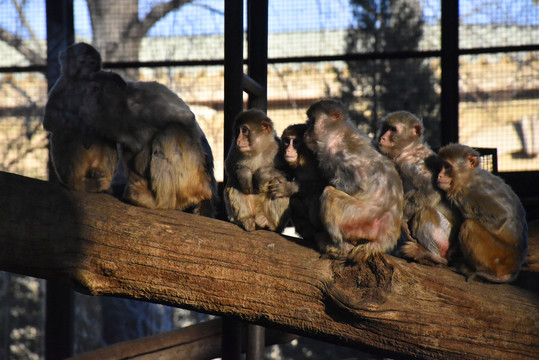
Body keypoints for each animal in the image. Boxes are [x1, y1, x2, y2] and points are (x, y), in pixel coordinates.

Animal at [42, 42, 117, 193]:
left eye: (92, 63)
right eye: (82, 62)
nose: (87, 70)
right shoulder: (62, 84)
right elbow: (50, 119)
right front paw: (84, 125)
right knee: (64, 132)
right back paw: (75, 181)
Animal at [78, 70, 217, 217]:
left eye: (96, 89)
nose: (87, 101)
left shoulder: (144, 104)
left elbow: (187, 119)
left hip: (191, 178)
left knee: (172, 130)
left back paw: (162, 202)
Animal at [304, 100, 404, 260]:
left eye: (312, 122)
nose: (306, 133)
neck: (338, 134)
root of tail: (388, 236)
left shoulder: (340, 154)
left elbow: (357, 185)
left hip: (362, 219)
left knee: (330, 194)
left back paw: (340, 247)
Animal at [378, 111, 462, 266]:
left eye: (393, 129)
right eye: (386, 128)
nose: (382, 137)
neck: (409, 149)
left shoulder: (413, 163)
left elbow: (431, 191)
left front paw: (402, 221)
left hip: (445, 236)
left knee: (425, 211)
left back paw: (432, 256)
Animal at [438, 143, 528, 282]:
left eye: (447, 166)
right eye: (441, 165)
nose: (439, 175)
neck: (469, 177)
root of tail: (515, 269)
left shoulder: (469, 193)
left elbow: (500, 217)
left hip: (500, 257)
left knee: (469, 225)